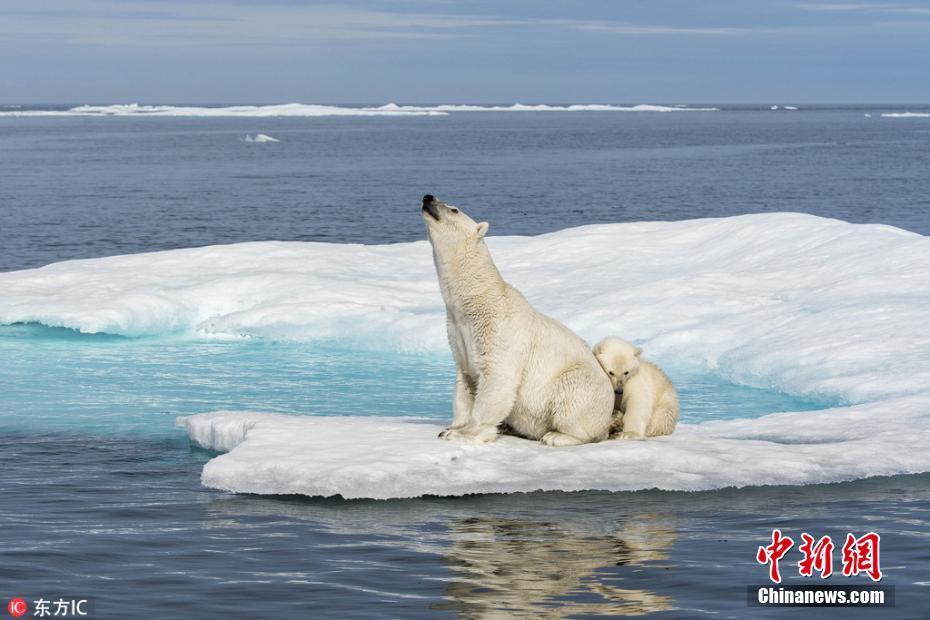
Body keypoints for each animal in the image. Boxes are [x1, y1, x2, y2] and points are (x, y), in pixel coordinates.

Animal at [422, 195, 616, 446]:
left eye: (453, 209)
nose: (428, 197)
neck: (477, 301)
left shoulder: (499, 330)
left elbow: (497, 377)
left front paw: (466, 433)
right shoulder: (458, 331)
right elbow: (465, 380)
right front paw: (451, 427)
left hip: (581, 385)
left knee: (572, 397)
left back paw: (556, 436)